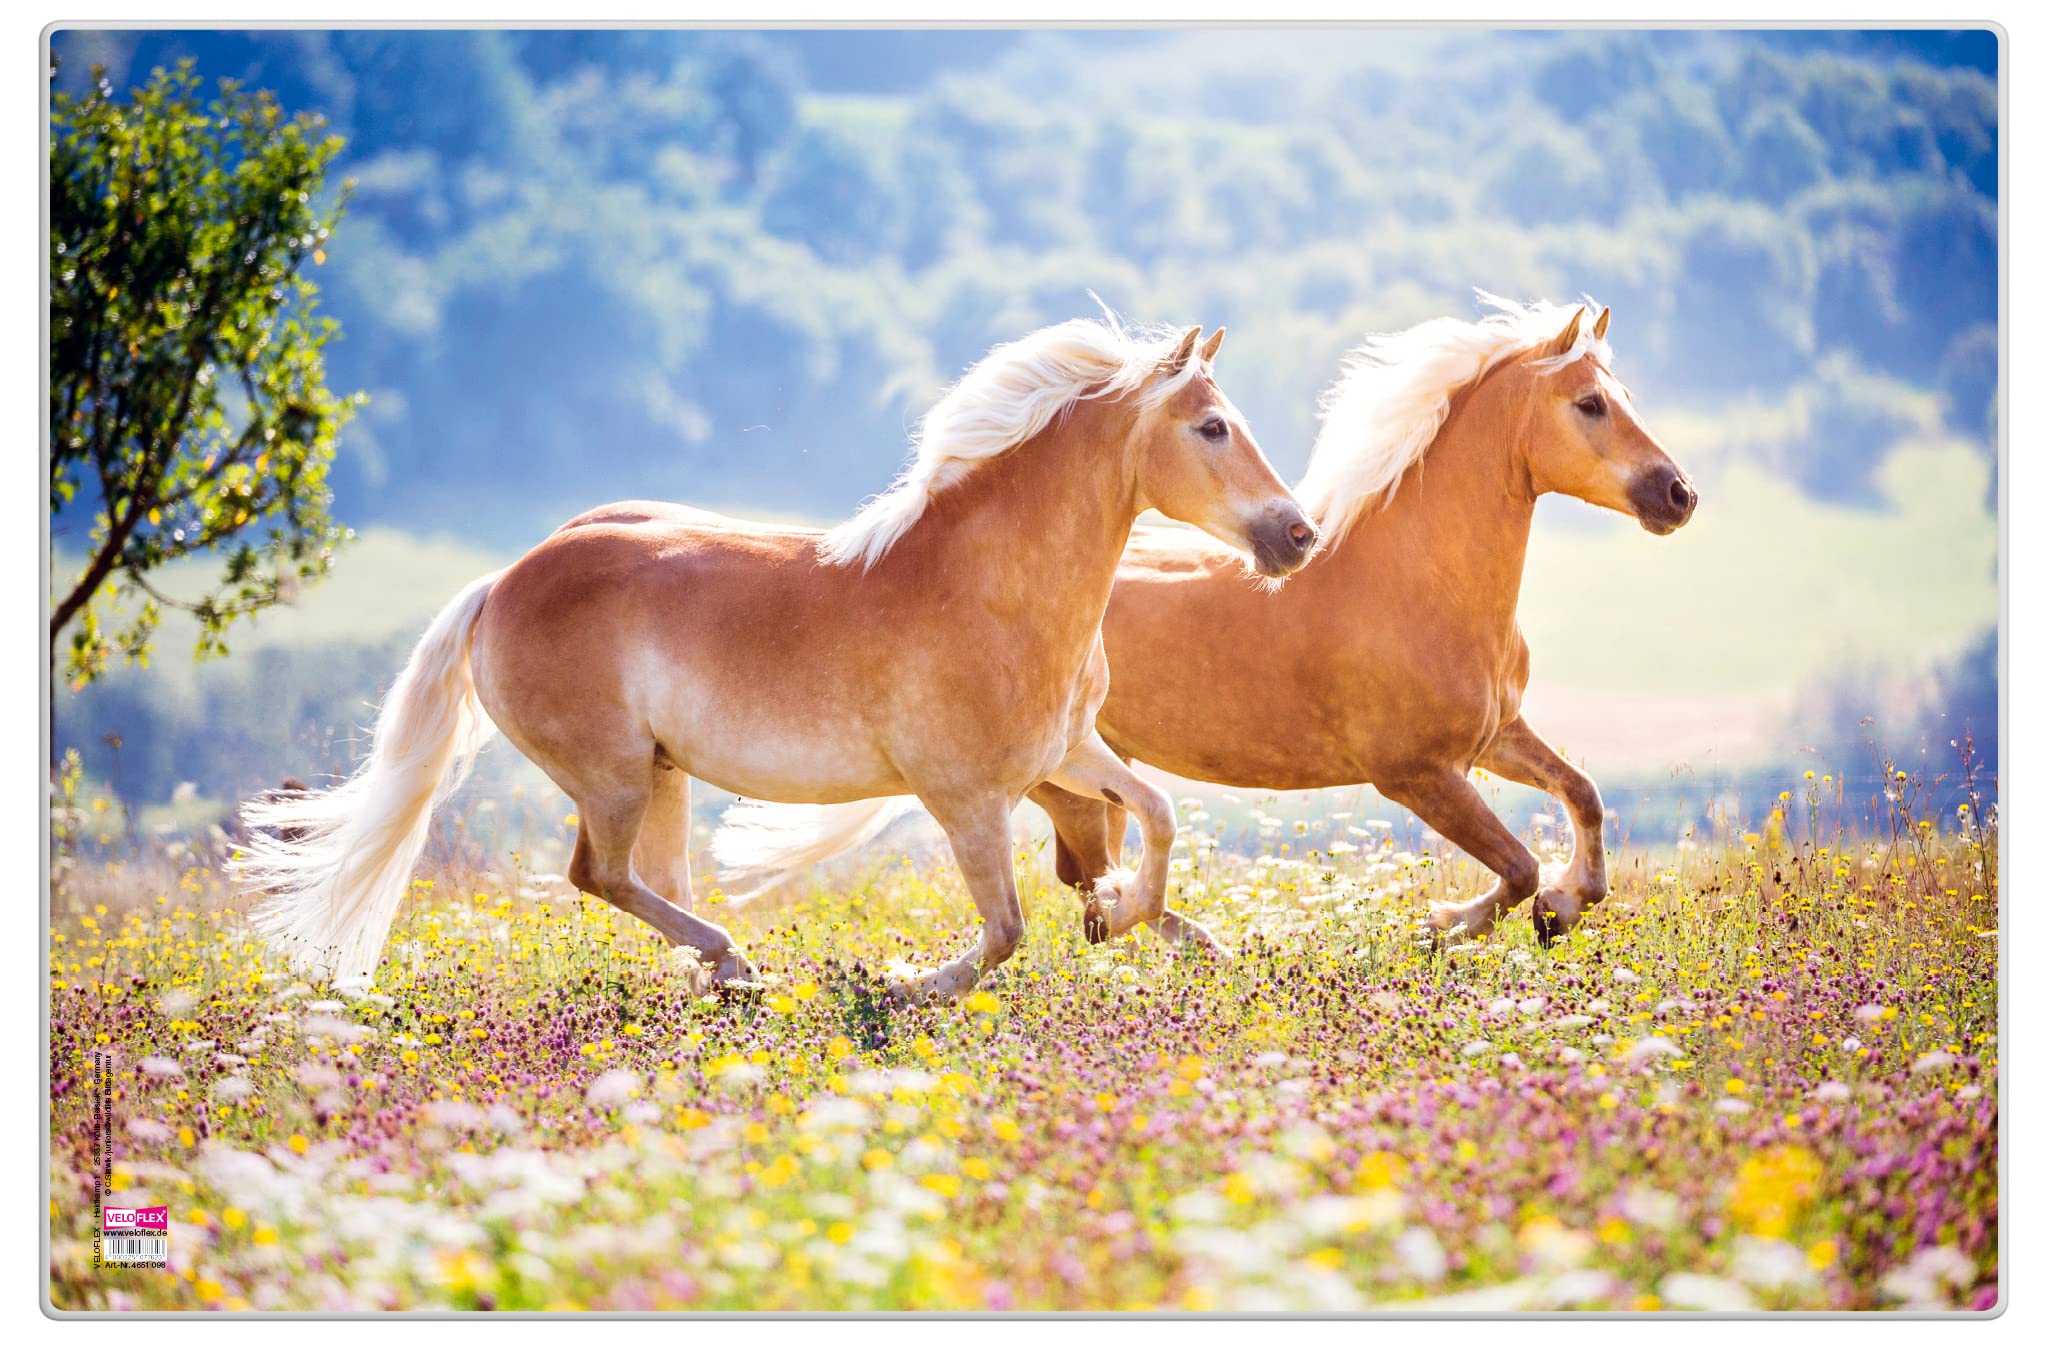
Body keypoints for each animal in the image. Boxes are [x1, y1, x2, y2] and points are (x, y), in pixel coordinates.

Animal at [234, 317, 1317, 999]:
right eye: (1211, 426)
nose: (1297, 537)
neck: (987, 589)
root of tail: (502, 582)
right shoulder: (964, 796)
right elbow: (1005, 927)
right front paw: (911, 986)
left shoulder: (1066, 753)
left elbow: (1158, 816)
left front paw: (1132, 917)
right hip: (610, 775)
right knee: (598, 874)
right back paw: (733, 963)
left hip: (660, 777)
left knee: (648, 881)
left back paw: (718, 972)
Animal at [717, 294, 1695, 948]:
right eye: (1591, 404)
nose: (1678, 495)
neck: (1421, 585)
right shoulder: (1415, 773)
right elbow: (1516, 865)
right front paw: (1455, 921)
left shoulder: (1493, 737)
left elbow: (1584, 794)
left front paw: (1566, 905)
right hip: (1060, 780)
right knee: (1087, 881)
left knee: (1092, 879)